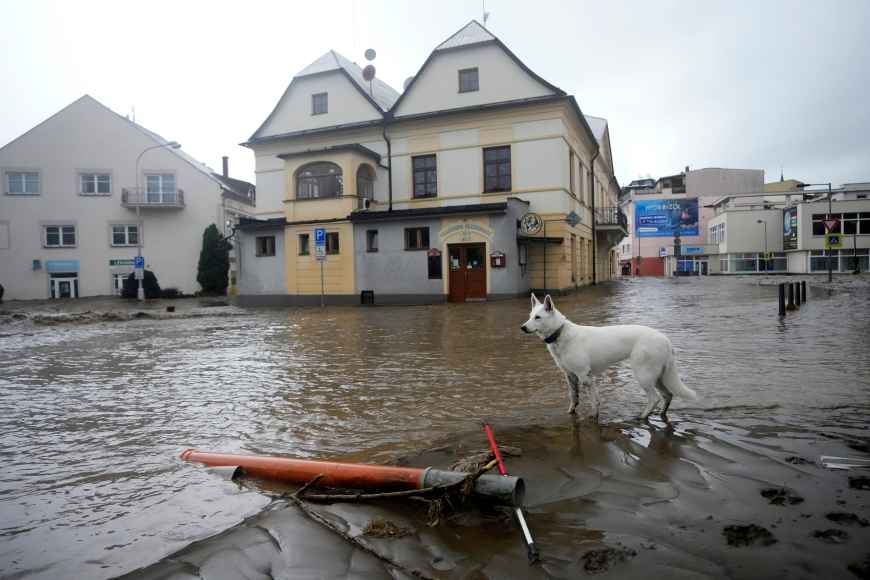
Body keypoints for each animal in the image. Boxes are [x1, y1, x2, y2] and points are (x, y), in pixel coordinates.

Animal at [520, 292, 700, 420]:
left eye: (538, 317)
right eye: (529, 316)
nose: (522, 327)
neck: (560, 333)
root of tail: (665, 339)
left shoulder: (585, 377)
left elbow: (594, 401)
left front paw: (594, 417)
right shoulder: (571, 376)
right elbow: (574, 397)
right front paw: (571, 413)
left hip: (644, 375)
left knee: (654, 398)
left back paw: (642, 417)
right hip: (658, 377)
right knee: (668, 395)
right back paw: (661, 414)